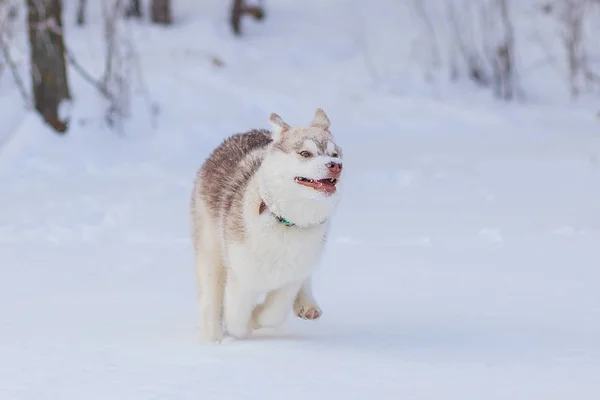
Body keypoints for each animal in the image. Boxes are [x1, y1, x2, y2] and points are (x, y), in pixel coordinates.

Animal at [191, 108, 342, 340]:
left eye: (334, 154)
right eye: (305, 153)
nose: (335, 166)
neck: (286, 222)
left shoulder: (291, 277)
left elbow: (273, 314)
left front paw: (255, 317)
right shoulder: (241, 277)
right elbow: (236, 320)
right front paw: (241, 329)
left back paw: (307, 303)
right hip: (210, 250)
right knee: (210, 296)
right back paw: (212, 337)